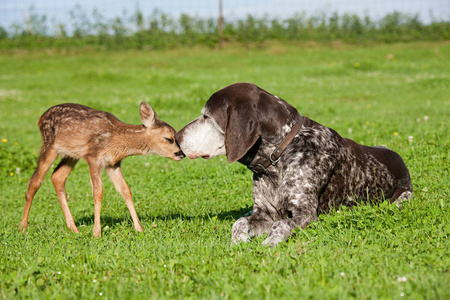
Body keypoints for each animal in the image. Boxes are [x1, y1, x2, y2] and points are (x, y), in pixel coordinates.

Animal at [177, 82, 414, 246]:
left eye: (206, 116)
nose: (176, 137)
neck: (279, 155)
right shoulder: (264, 212)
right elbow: (240, 222)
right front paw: (238, 241)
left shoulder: (305, 214)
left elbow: (281, 224)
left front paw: (270, 242)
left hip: (403, 198)